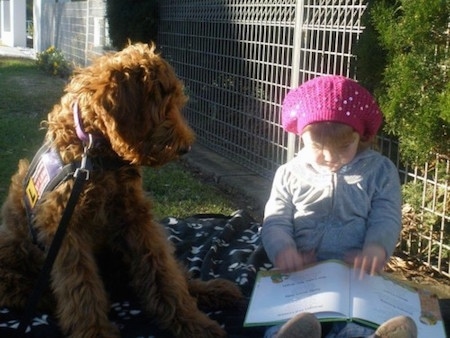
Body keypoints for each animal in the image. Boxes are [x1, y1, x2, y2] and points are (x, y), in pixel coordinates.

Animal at [0, 43, 243, 336]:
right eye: (162, 101)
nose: (186, 147)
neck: (94, 151)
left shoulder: (136, 220)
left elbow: (163, 272)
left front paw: (192, 322)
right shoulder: (67, 230)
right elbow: (81, 288)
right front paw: (94, 331)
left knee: (176, 272)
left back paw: (211, 289)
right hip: (11, 252)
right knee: (12, 285)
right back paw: (41, 298)